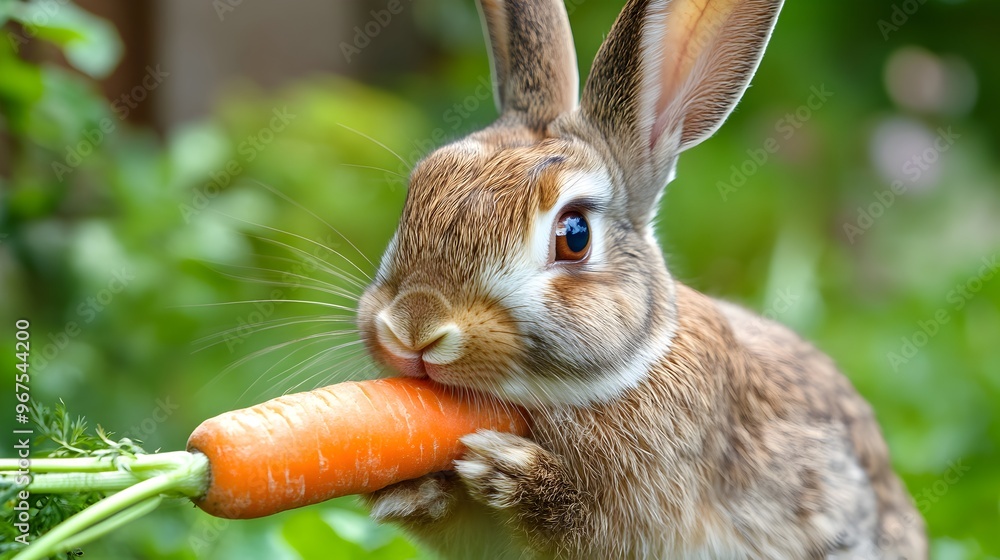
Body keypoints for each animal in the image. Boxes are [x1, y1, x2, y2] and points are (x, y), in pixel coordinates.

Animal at [355, 0, 928, 558]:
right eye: (417, 190)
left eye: (575, 235)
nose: (412, 326)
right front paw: (407, 489)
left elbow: (585, 524)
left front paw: (508, 474)